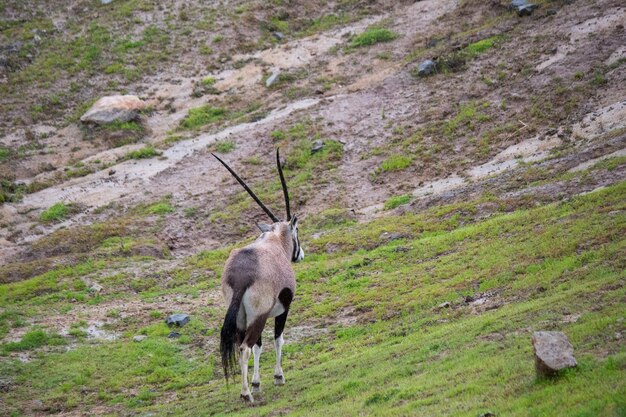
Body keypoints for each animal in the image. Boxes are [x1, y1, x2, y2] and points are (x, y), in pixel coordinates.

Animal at [213, 148, 304, 402]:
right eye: (297, 231)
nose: (300, 254)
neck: (274, 242)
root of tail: (241, 278)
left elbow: (260, 346)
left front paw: (256, 383)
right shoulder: (283, 308)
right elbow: (278, 339)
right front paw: (278, 377)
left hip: (243, 318)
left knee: (244, 345)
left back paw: (247, 390)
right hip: (259, 316)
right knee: (245, 347)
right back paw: (245, 395)